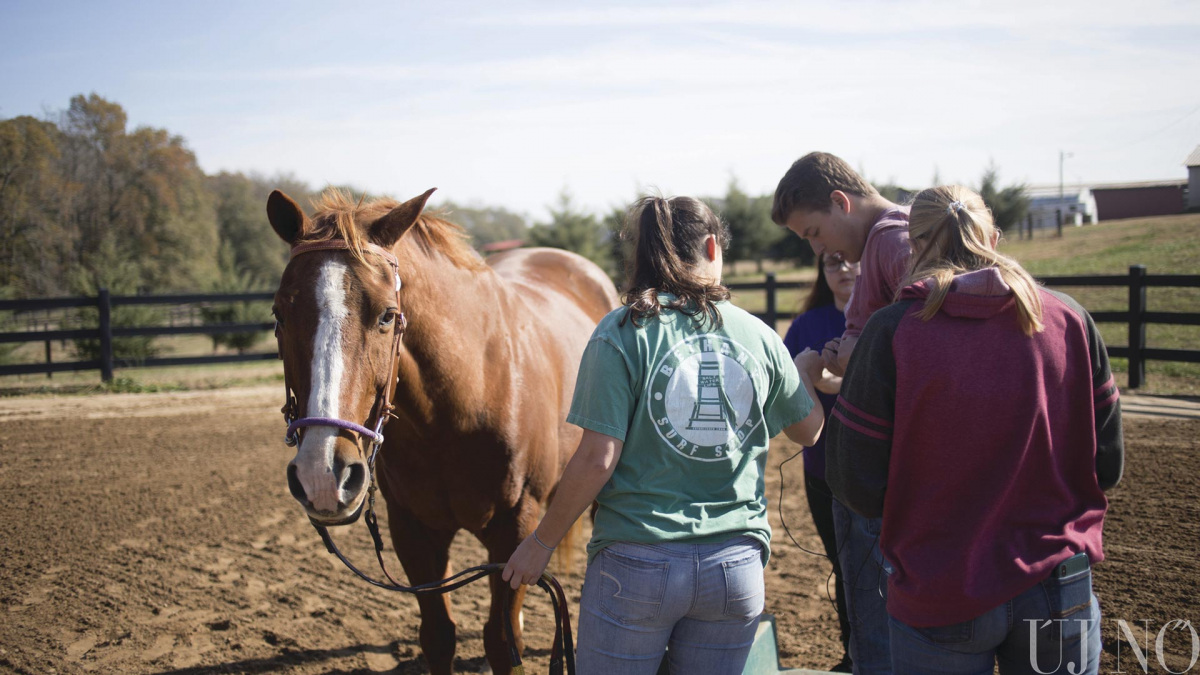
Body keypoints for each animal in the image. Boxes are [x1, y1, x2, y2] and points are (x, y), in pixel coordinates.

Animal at [266, 184, 614, 672]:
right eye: (279, 315)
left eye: (387, 315)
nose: (322, 474)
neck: (465, 396)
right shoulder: (413, 531)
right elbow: (438, 635)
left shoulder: (517, 529)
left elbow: (501, 642)